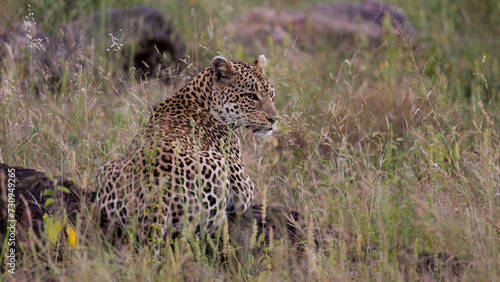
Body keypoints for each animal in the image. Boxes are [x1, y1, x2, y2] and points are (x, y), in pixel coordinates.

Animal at [95, 54, 280, 246]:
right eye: (251, 96)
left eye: (271, 94)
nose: (275, 119)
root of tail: (157, 195)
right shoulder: (242, 188)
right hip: (217, 162)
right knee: (203, 231)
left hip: (105, 171)